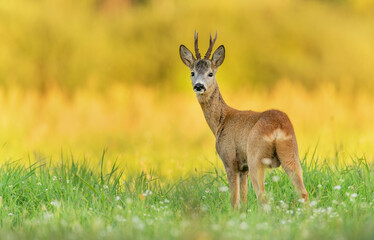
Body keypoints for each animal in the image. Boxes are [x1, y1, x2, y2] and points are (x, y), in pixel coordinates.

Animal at [180, 31, 308, 209]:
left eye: (210, 73)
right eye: (192, 73)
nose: (199, 86)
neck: (221, 121)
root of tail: (277, 127)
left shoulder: (230, 159)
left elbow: (235, 200)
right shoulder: (244, 167)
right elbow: (244, 198)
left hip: (256, 156)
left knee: (263, 197)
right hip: (291, 153)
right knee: (303, 192)